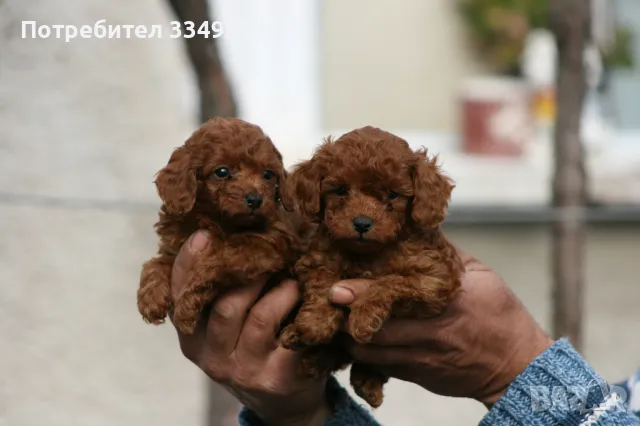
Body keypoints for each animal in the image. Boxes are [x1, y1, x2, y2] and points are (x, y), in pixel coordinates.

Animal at [138, 118, 302, 334]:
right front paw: (150, 298)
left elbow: (214, 260)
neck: (217, 219)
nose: (255, 199)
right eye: (222, 172)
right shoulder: (175, 246)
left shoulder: (267, 247)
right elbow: (156, 263)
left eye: (268, 175)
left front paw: (185, 310)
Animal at [282, 127, 462, 410]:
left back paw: (365, 381)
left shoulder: (436, 278)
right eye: (341, 190)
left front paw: (363, 318)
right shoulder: (316, 259)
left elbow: (388, 282)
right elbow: (323, 285)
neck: (369, 253)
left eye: (393, 195)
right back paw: (302, 345)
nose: (362, 223)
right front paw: (315, 324)